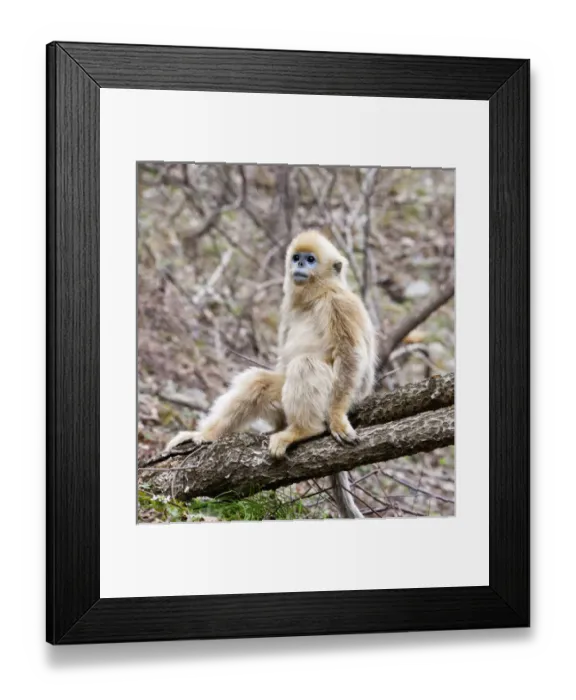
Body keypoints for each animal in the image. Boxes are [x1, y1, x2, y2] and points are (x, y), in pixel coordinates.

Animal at [166, 229, 377, 518]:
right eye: (297, 258)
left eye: (311, 260)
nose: (299, 265)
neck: (316, 298)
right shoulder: (288, 309)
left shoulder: (341, 304)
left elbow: (352, 357)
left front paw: (336, 419)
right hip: (281, 402)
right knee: (259, 382)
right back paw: (206, 435)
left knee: (305, 364)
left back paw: (303, 430)